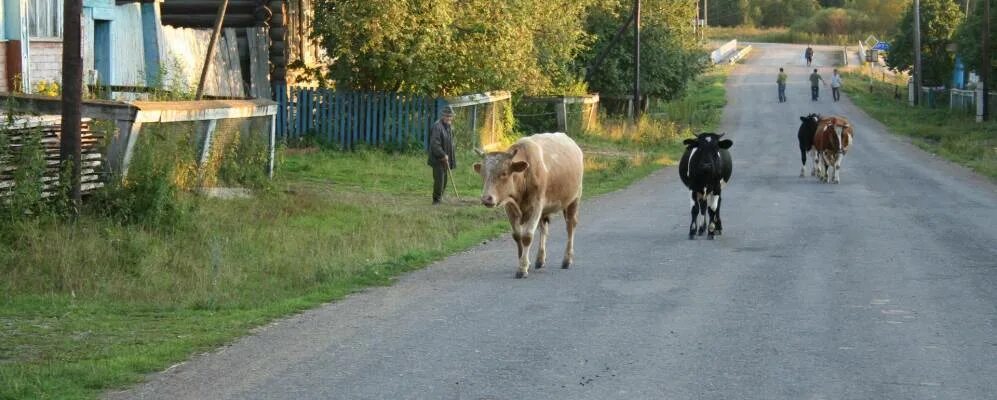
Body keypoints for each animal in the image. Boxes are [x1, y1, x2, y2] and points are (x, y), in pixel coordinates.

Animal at [474, 133, 584, 280]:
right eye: (483, 174)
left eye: (504, 173)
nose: (486, 198)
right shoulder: (509, 207)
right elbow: (517, 236)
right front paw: (524, 262)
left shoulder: (536, 206)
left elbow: (527, 236)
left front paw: (522, 268)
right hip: (545, 209)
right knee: (544, 228)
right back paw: (540, 259)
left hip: (574, 198)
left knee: (570, 226)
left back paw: (567, 260)